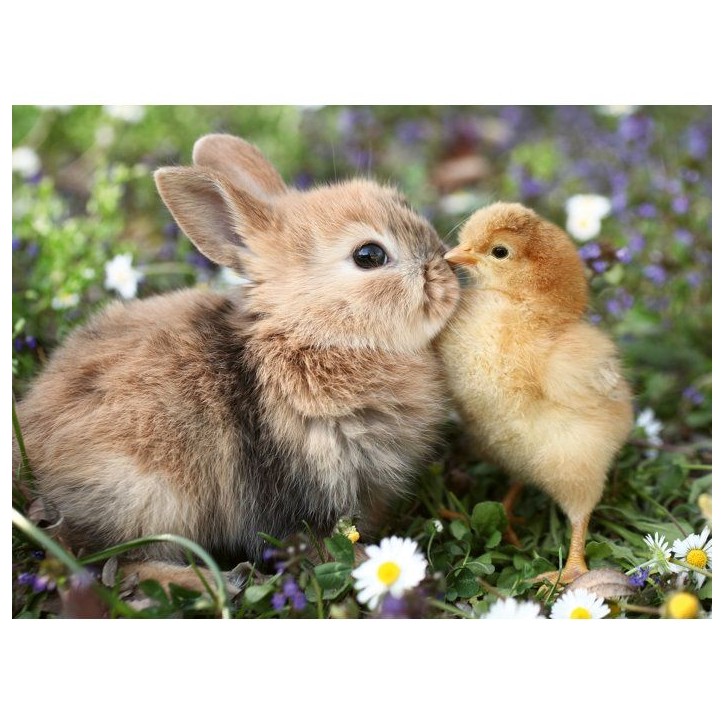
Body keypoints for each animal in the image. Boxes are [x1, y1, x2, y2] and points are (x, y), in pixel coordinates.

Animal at [14, 133, 461, 569]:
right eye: (369, 256)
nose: (448, 273)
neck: (309, 332)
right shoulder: (298, 487)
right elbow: (313, 540)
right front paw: (364, 560)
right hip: (147, 495)